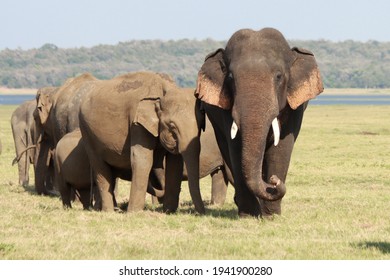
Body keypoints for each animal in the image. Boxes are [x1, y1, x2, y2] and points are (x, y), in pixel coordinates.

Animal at [79, 71, 206, 212]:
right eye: (172, 126)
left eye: (201, 124)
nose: (201, 213)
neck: (164, 89)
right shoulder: (136, 124)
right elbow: (142, 160)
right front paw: (134, 212)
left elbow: (175, 164)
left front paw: (169, 211)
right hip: (86, 132)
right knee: (100, 168)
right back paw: (109, 211)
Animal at [194, 27, 322, 217]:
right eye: (230, 78)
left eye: (279, 76)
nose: (274, 182)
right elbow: (236, 148)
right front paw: (249, 215)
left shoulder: (295, 109)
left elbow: (281, 148)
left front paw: (271, 215)